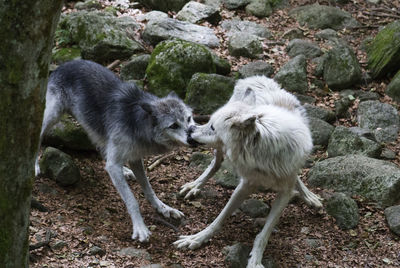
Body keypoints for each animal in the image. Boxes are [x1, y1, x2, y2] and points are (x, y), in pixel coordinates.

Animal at [36, 59, 195, 242]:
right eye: (173, 125)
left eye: (188, 118)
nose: (193, 139)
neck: (135, 120)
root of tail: (65, 63)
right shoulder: (119, 161)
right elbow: (132, 200)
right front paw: (140, 228)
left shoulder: (135, 158)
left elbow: (148, 188)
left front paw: (164, 208)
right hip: (53, 116)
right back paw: (34, 165)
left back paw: (124, 171)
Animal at [175, 76, 322, 268]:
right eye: (208, 122)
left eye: (213, 127)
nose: (190, 129)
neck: (264, 156)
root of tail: (254, 78)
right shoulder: (245, 185)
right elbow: (219, 218)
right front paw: (197, 238)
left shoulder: (284, 194)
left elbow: (265, 233)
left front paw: (255, 260)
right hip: (219, 149)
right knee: (215, 164)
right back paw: (195, 185)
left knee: (295, 177)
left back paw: (309, 196)